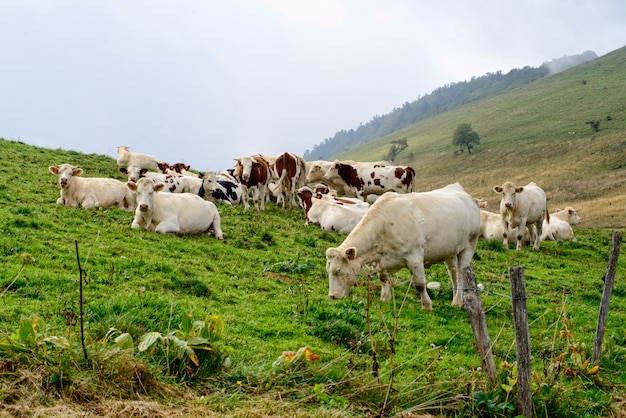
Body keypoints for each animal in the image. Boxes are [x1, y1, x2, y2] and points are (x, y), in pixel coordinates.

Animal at [324, 185, 480, 308]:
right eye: (328, 270)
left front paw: (427, 305)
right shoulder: (382, 260)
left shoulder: (415, 257)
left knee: (461, 274)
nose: (332, 296)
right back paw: (456, 299)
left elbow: (420, 284)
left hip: (469, 245)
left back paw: (458, 302)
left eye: (338, 271)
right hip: (450, 251)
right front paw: (385, 299)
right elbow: (383, 279)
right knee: (453, 274)